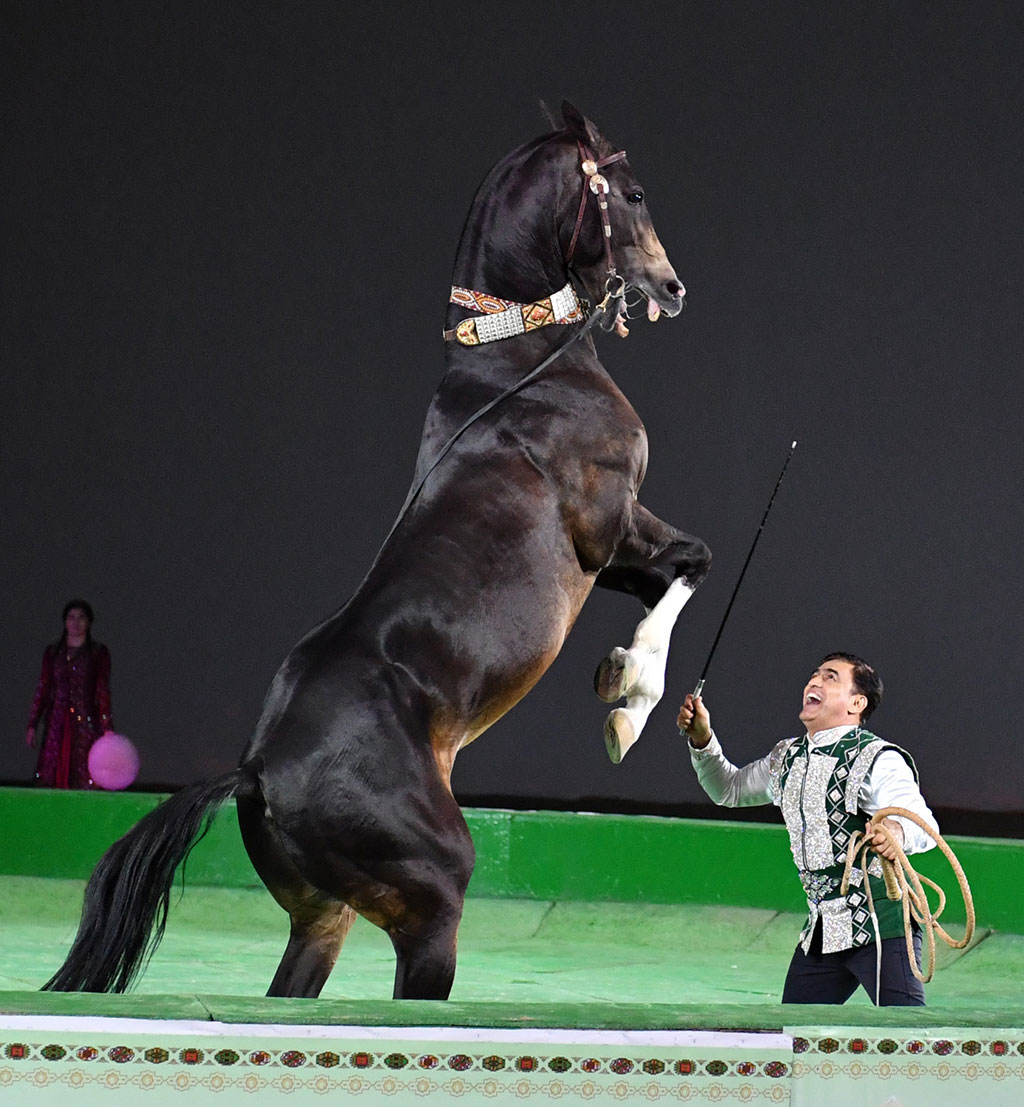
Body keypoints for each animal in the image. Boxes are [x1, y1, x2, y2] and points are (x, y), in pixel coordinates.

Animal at [44, 104, 708, 1005]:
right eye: (632, 193)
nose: (672, 288)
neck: (526, 370)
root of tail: (258, 769)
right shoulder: (608, 533)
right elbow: (692, 563)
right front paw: (626, 697)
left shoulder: (618, 553)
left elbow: (684, 567)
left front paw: (625, 691)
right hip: (429, 901)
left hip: (322, 916)